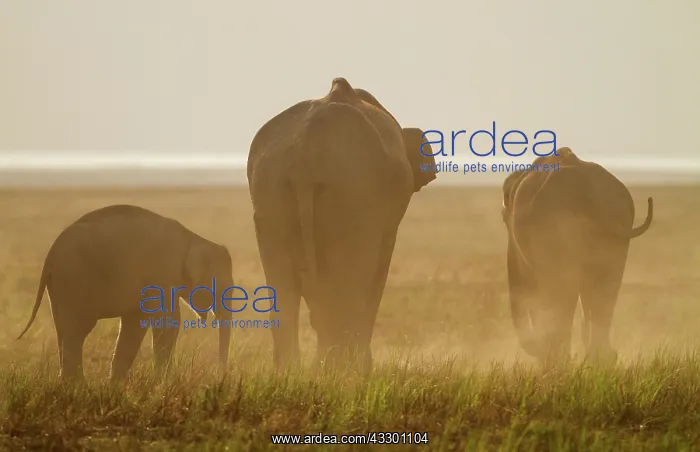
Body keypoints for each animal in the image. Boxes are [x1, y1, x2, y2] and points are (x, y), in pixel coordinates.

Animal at [17, 204, 234, 381]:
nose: (219, 376)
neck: (194, 238)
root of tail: (50, 256)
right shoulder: (162, 274)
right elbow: (168, 322)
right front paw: (161, 382)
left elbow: (135, 323)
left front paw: (117, 384)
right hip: (74, 279)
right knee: (77, 330)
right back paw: (78, 386)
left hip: (59, 286)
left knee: (63, 329)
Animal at [247, 77, 437, 372]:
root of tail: (306, 151)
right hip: (353, 195)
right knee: (349, 281)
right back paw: (344, 369)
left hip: (269, 190)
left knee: (287, 289)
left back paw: (295, 371)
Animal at [501, 147, 654, 365]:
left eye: (504, 219)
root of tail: (590, 194)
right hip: (617, 229)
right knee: (605, 287)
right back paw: (598, 360)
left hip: (556, 228)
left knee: (564, 290)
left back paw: (561, 361)